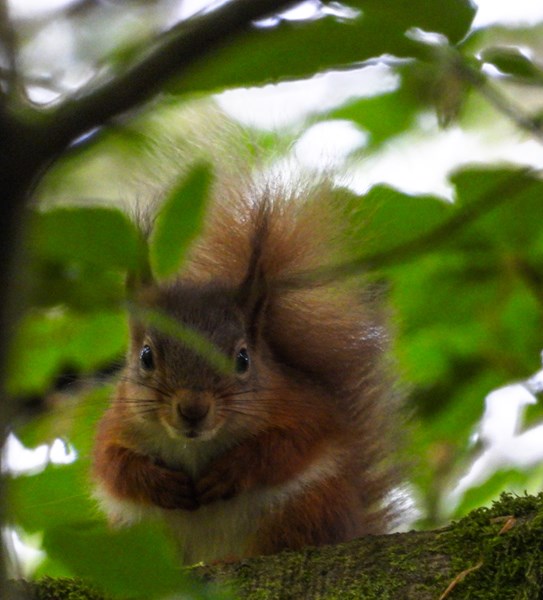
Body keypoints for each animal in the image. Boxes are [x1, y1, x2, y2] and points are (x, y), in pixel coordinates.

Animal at [92, 174, 401, 565]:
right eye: (146, 356)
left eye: (243, 359)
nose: (193, 408)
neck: (196, 444)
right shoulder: (117, 423)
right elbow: (112, 465)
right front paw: (158, 483)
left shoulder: (300, 406)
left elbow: (290, 443)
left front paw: (232, 470)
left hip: (305, 508)